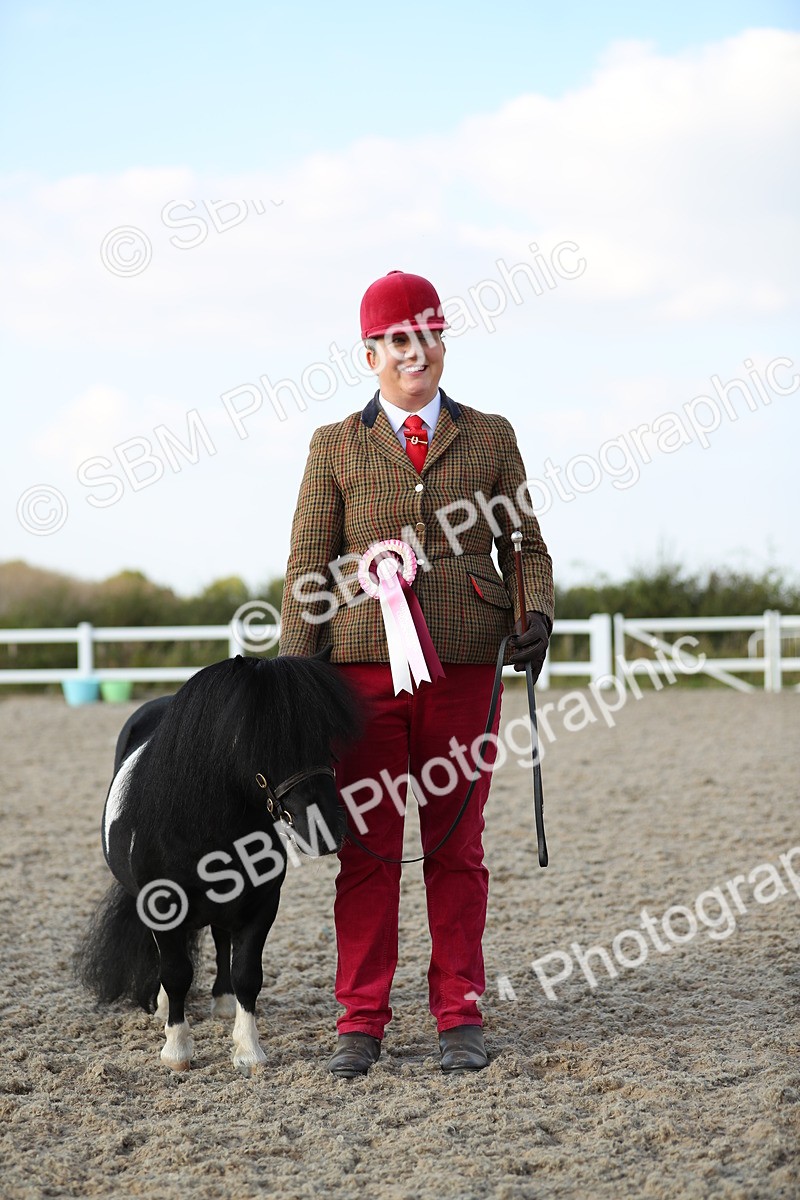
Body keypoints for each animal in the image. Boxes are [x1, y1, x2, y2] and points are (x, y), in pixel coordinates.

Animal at [75, 650, 361, 1074]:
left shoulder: (261, 905)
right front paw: (177, 1050)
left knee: (222, 937)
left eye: (325, 735)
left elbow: (247, 973)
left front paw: (248, 1050)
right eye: (263, 737)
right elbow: (176, 973)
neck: (200, 823)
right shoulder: (162, 905)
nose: (326, 828)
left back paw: (223, 1003)